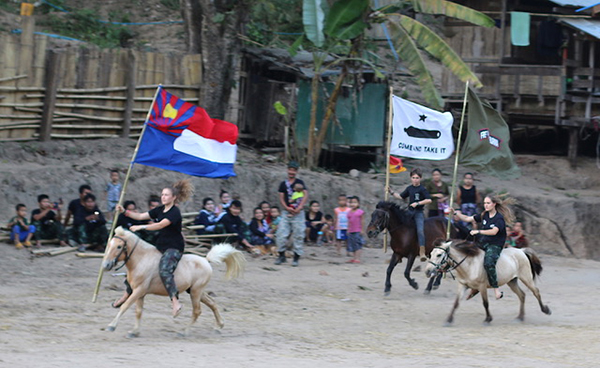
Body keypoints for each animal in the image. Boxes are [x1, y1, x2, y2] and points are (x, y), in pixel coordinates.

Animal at [103, 227, 246, 336]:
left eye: (119, 246)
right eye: (109, 245)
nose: (106, 265)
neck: (142, 259)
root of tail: (206, 260)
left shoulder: (139, 290)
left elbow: (125, 306)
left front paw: (111, 326)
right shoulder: (140, 293)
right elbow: (138, 312)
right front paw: (134, 332)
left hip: (195, 292)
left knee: (197, 311)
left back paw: (184, 331)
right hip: (195, 291)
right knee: (212, 303)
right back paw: (218, 326)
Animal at [424, 237, 552, 324]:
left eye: (439, 255)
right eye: (431, 254)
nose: (427, 271)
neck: (469, 264)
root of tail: (521, 250)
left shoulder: (482, 287)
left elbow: (485, 303)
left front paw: (488, 319)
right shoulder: (462, 285)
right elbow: (456, 303)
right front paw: (449, 320)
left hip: (526, 278)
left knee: (536, 292)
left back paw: (545, 310)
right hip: (512, 281)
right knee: (522, 295)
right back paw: (520, 317)